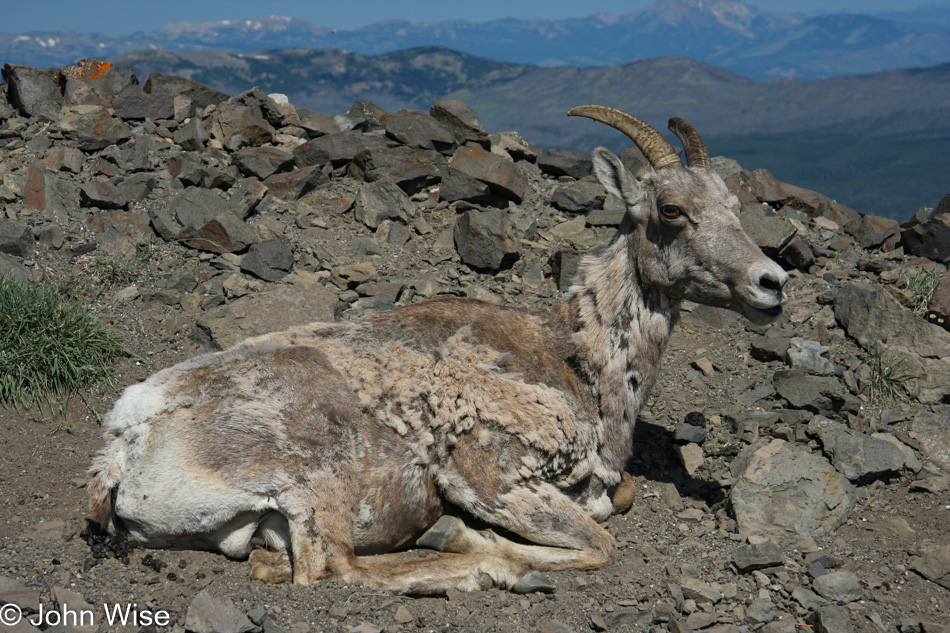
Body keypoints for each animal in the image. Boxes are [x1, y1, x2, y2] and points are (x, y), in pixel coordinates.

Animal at [89, 106, 788, 596]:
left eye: (733, 205)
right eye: (671, 210)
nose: (771, 283)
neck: (578, 362)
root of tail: (128, 439)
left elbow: (616, 500)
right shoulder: (490, 474)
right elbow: (597, 542)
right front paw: (475, 541)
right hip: (315, 474)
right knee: (332, 568)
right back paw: (481, 569)